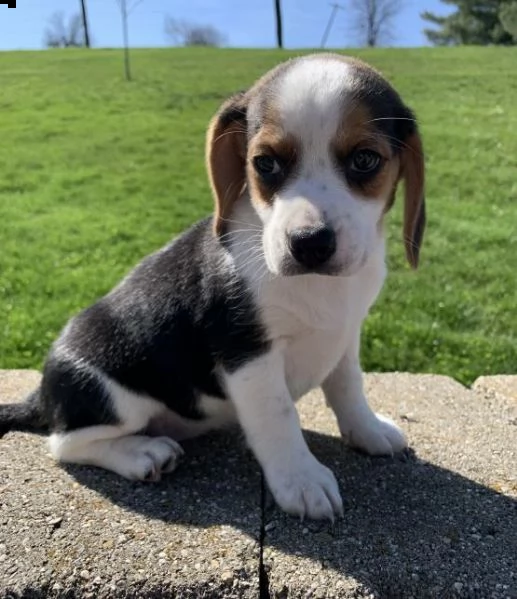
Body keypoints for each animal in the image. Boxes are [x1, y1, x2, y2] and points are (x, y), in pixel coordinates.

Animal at [2, 54, 426, 524]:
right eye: (265, 164)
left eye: (366, 160)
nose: (310, 243)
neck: (317, 286)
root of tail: (41, 394)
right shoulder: (247, 352)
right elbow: (278, 417)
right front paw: (301, 480)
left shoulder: (345, 334)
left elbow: (349, 386)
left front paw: (367, 431)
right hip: (111, 393)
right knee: (64, 443)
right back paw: (141, 454)